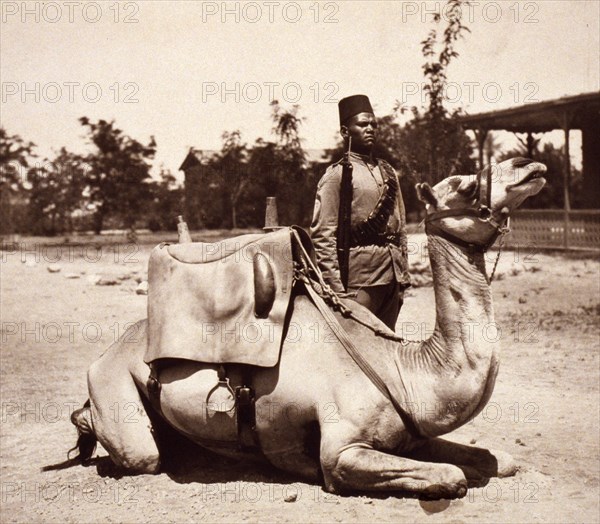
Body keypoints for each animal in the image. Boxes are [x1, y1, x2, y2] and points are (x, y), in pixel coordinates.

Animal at [68, 159, 548, 500]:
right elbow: (452, 476)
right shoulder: (341, 452)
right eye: (465, 185)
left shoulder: (413, 438)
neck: (404, 371)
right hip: (117, 394)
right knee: (141, 452)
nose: (530, 165)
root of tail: (102, 355)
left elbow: (499, 459)